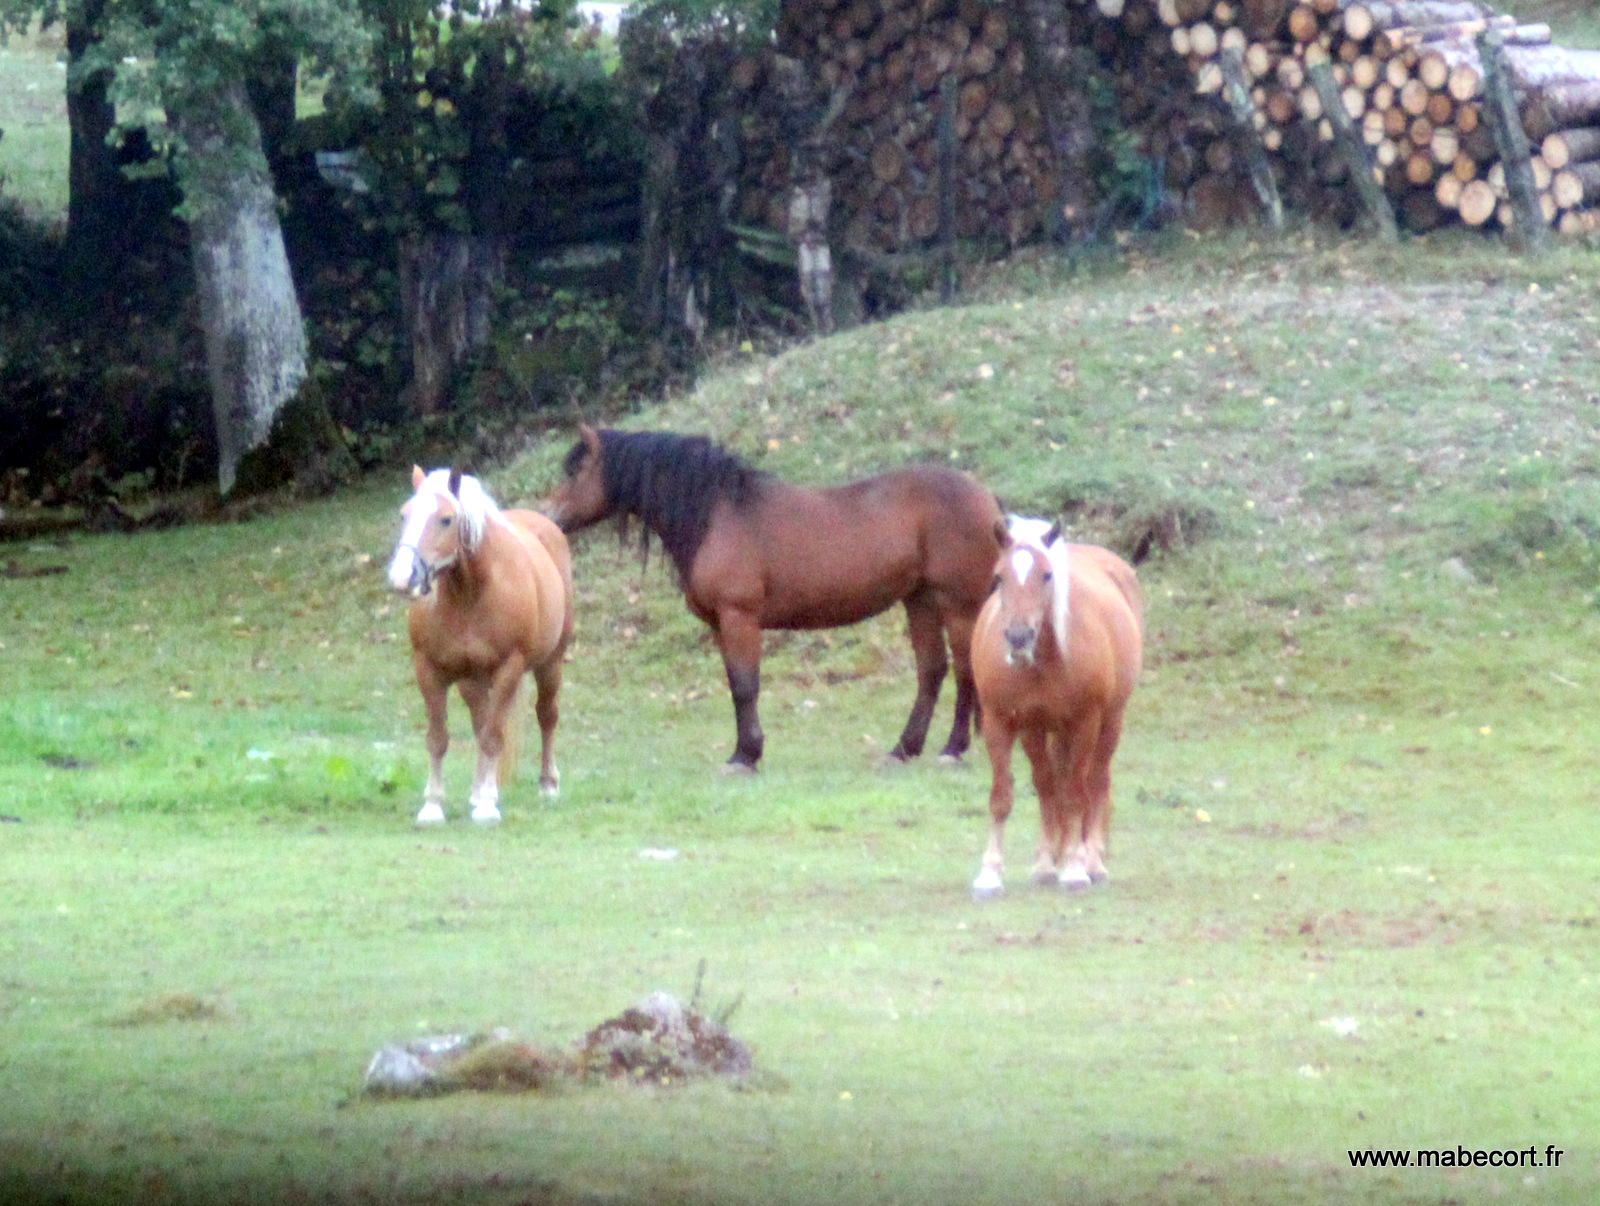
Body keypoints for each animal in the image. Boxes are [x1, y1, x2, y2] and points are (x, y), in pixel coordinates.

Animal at [387, 466, 573, 824]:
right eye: (404, 514)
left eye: (446, 519)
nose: (403, 577)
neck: (470, 594)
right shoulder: (429, 671)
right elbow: (438, 739)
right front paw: (433, 806)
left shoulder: (508, 670)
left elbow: (492, 737)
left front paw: (488, 806)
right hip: (470, 680)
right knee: (480, 720)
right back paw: (477, 790)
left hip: (550, 664)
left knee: (546, 716)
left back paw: (547, 785)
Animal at [542, 426, 1004, 771]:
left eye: (576, 471)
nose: (549, 518)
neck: (718, 516)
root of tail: (986, 498)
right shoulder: (721, 625)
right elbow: (735, 684)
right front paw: (745, 750)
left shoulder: (739, 617)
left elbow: (746, 686)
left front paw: (745, 756)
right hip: (919, 601)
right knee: (932, 671)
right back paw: (903, 750)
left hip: (958, 605)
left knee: (965, 671)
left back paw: (952, 749)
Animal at [969, 516, 1143, 899]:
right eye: (998, 577)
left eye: (1047, 575)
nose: (1019, 638)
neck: (1042, 664)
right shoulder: (1001, 723)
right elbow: (1005, 797)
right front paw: (991, 874)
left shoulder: (1084, 723)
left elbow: (1078, 795)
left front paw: (1076, 870)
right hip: (1040, 733)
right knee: (1050, 786)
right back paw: (1050, 860)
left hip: (1109, 723)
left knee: (1096, 783)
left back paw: (1092, 861)